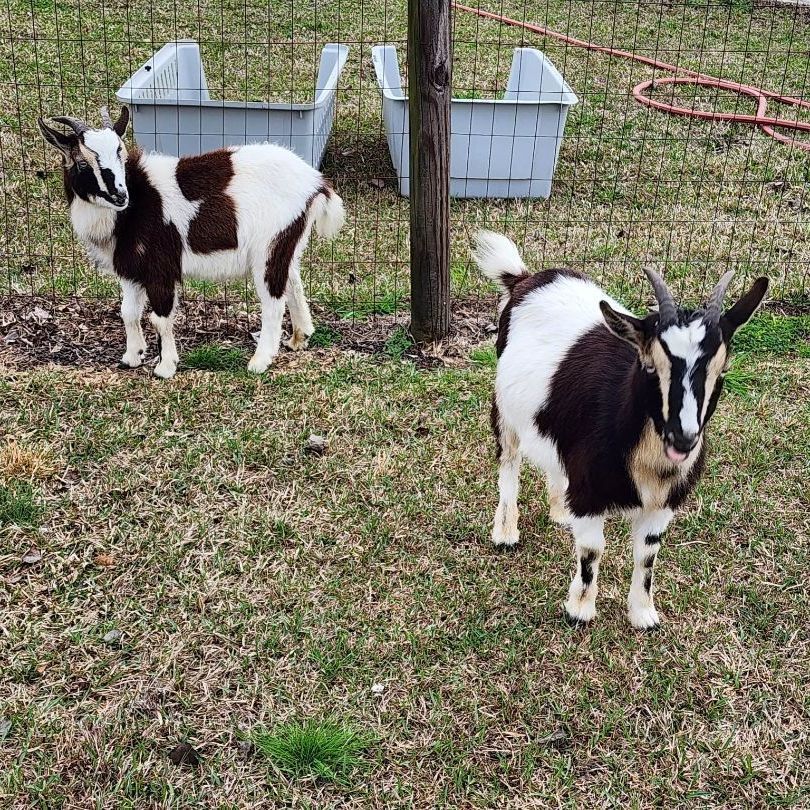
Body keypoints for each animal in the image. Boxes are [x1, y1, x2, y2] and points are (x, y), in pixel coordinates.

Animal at [38, 106, 344, 378]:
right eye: (82, 163)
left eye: (121, 156)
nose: (120, 196)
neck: (132, 209)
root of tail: (316, 182)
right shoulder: (131, 269)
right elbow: (128, 312)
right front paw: (132, 357)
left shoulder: (160, 266)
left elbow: (160, 317)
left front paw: (165, 367)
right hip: (287, 241)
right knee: (293, 281)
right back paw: (299, 337)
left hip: (269, 245)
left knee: (273, 301)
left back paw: (260, 361)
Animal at [473, 230, 768, 630]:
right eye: (650, 365)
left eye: (722, 371)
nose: (684, 438)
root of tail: (525, 277)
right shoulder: (591, 493)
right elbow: (592, 550)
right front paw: (579, 610)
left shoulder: (662, 503)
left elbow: (647, 555)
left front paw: (643, 615)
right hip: (504, 407)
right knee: (509, 460)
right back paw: (505, 532)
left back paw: (560, 512)